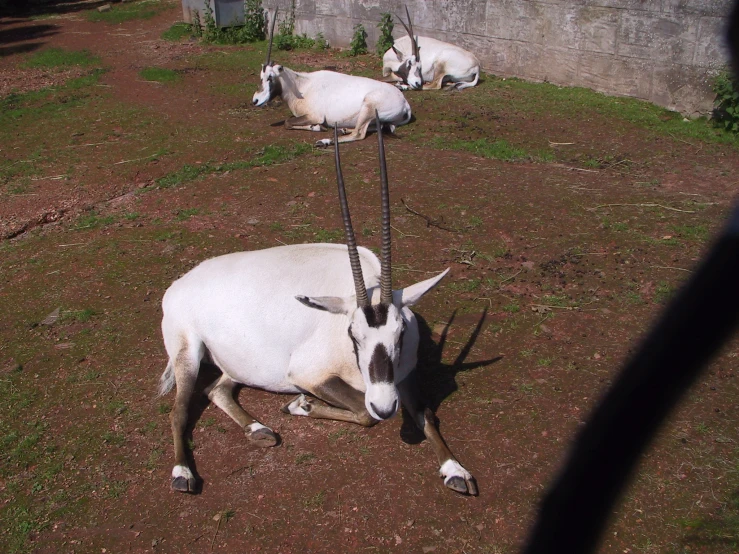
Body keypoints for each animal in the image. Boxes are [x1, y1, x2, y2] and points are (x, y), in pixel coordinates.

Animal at [158, 115, 476, 492]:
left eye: (400, 334)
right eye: (353, 335)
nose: (385, 407)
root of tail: (178, 285)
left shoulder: (402, 377)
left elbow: (425, 413)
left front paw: (455, 469)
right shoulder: (309, 374)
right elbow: (364, 413)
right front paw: (301, 406)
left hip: (235, 365)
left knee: (215, 389)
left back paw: (259, 430)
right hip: (187, 353)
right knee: (179, 409)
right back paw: (182, 473)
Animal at [254, 9, 414, 147]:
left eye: (270, 77)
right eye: (261, 76)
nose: (255, 100)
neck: (301, 85)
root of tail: (405, 103)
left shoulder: (315, 115)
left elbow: (288, 122)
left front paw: (318, 127)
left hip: (368, 107)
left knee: (358, 134)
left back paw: (325, 141)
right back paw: (342, 129)